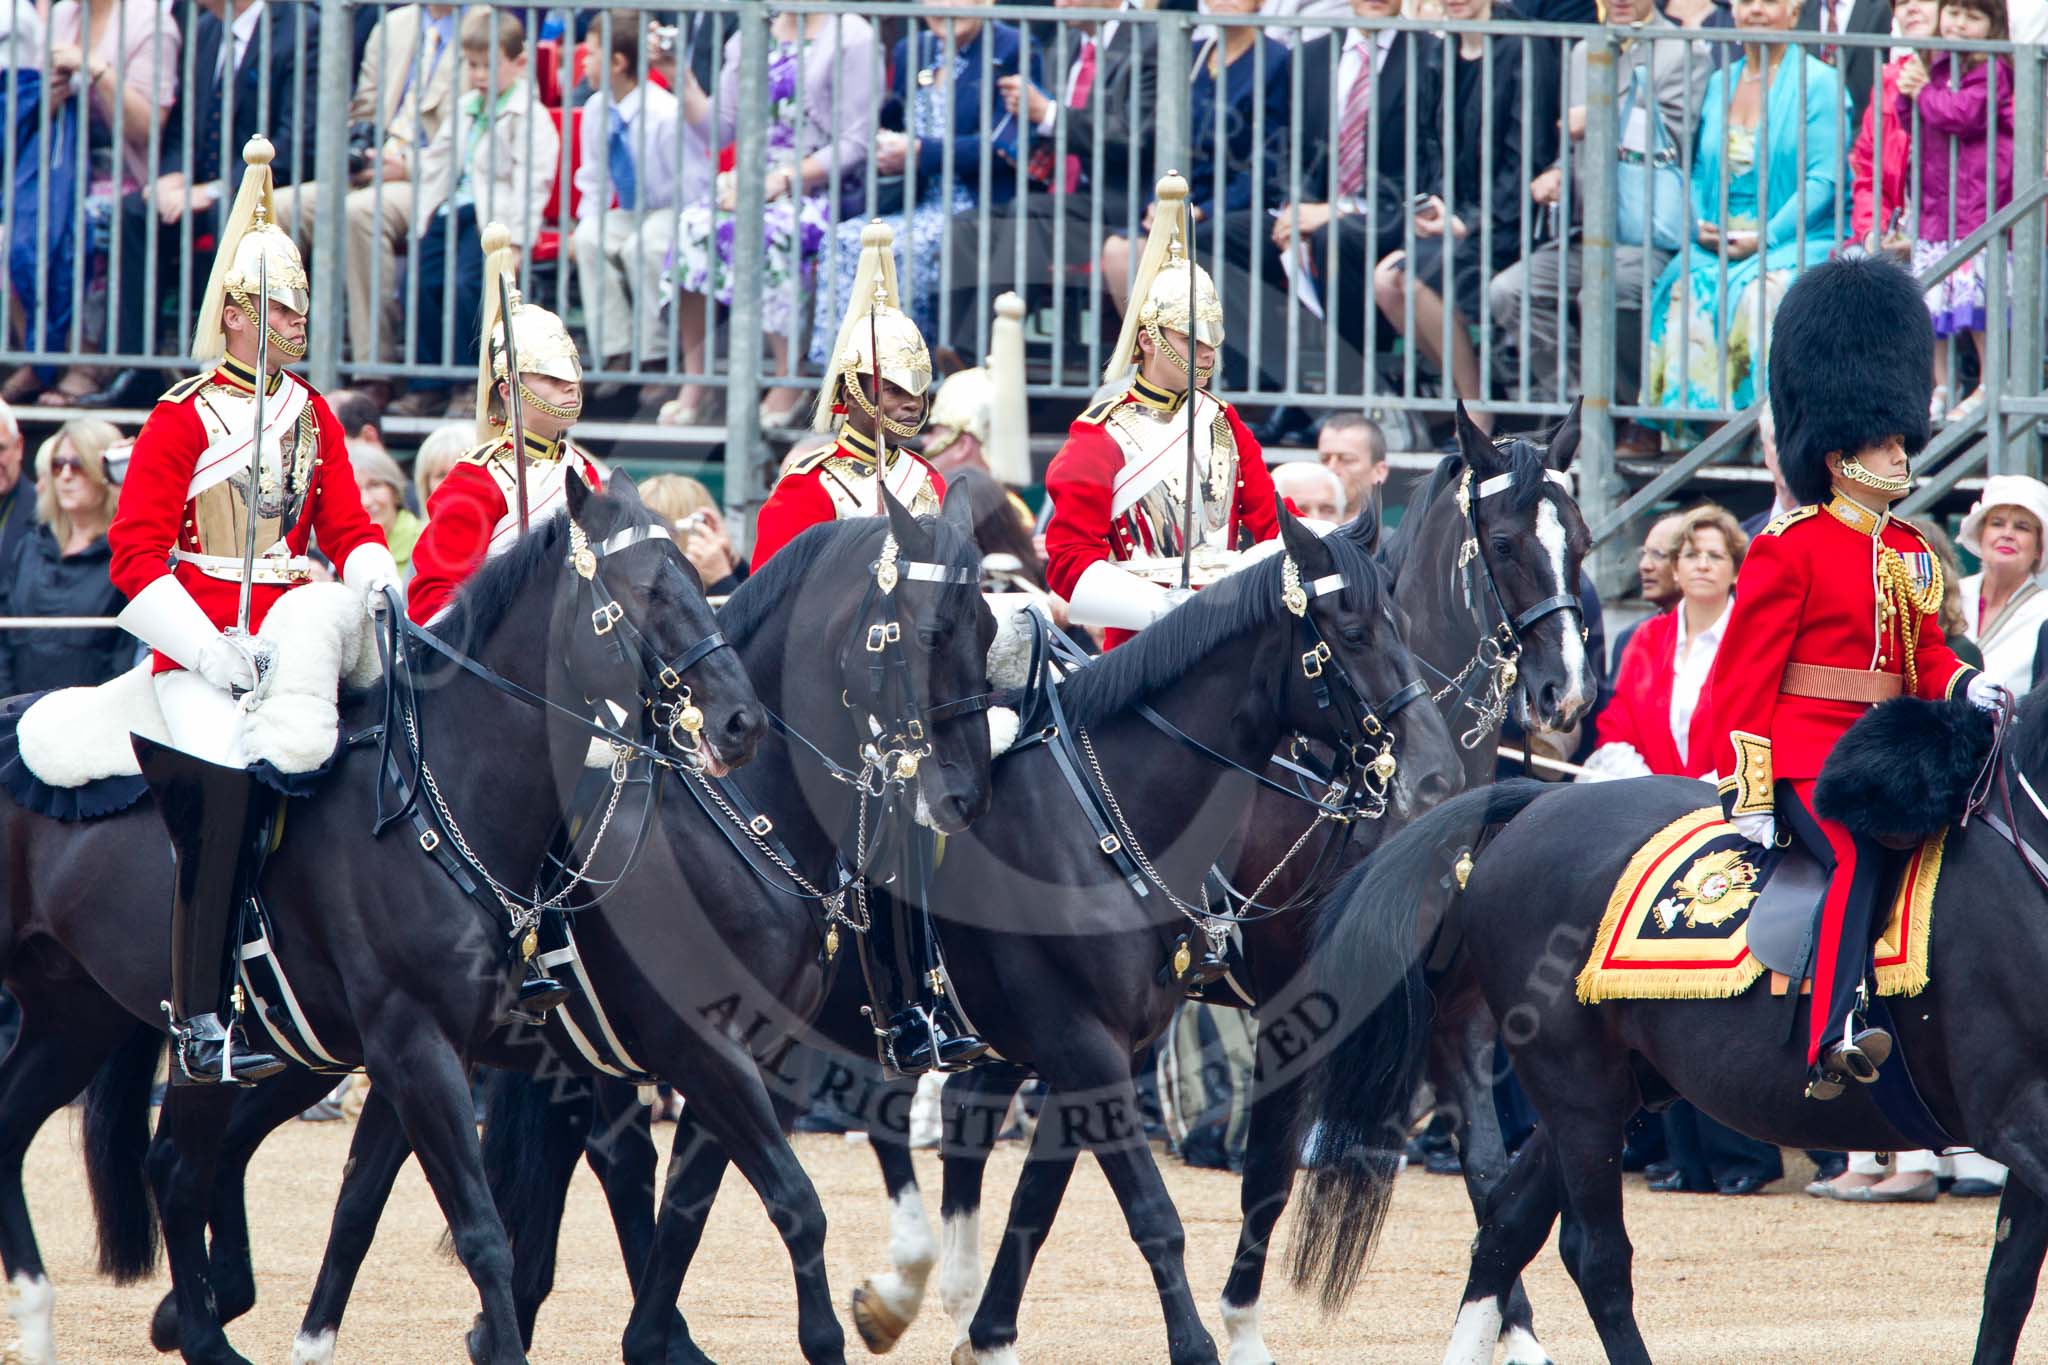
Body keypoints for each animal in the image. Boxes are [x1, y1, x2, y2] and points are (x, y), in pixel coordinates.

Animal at [8, 480, 761, 1365]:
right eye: (644, 589)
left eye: (697, 574)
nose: (742, 721)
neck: (439, 792)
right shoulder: (413, 1043)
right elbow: (480, 1231)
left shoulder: (438, 1048)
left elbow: (369, 1203)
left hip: (77, 1012)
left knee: (113, 1152)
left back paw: (73, 1315)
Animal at [1294, 716, 2048, 1365]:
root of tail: (1542, 799)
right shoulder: (2015, 1118)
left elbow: (2008, 1283)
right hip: (1578, 1094)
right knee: (1593, 1256)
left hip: (1599, 1095)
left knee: (1506, 1226)